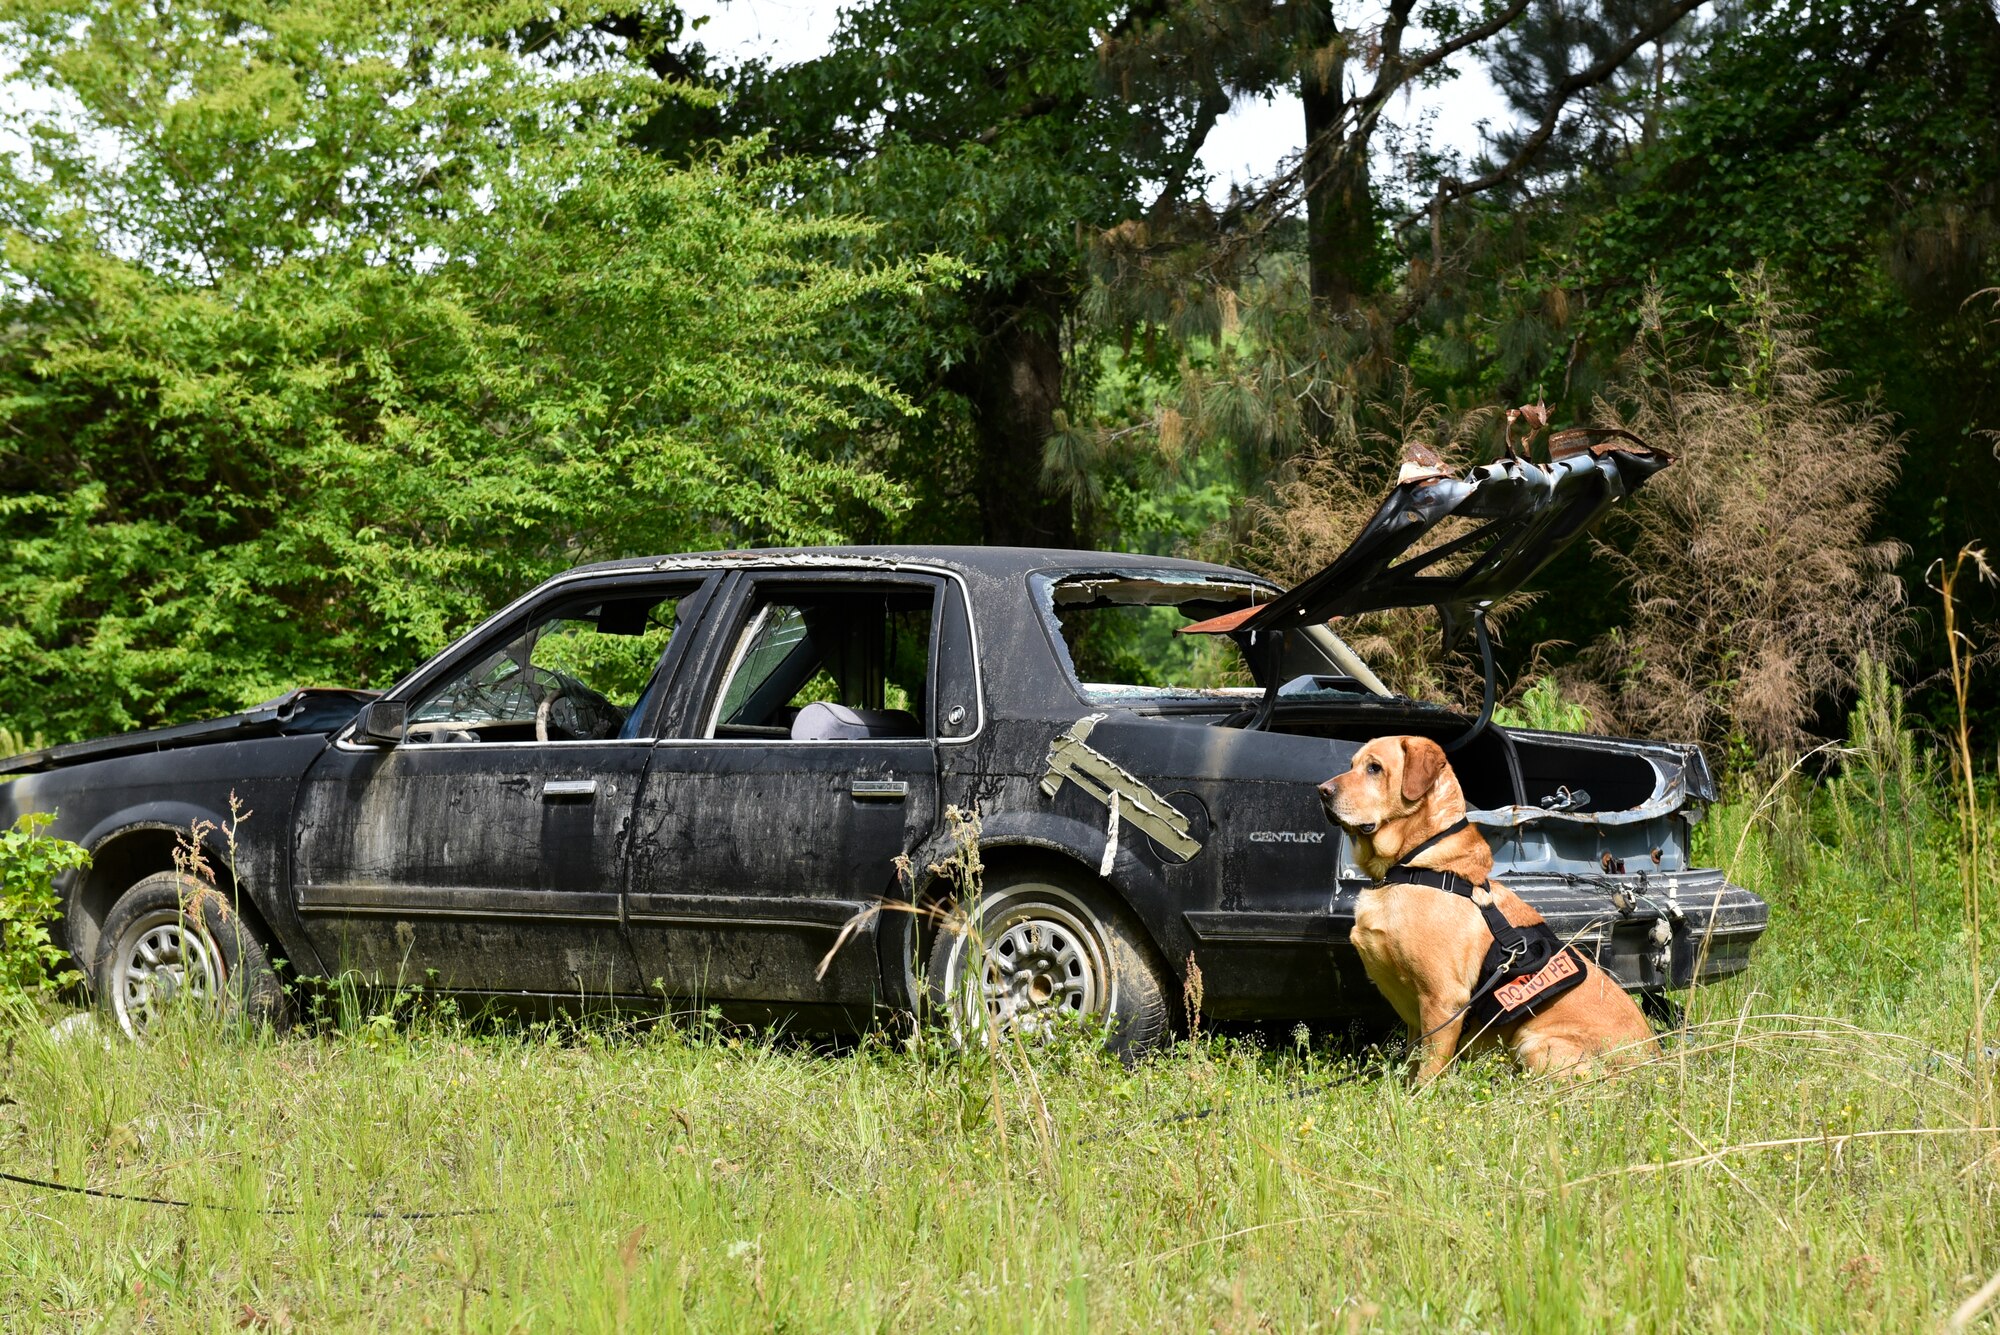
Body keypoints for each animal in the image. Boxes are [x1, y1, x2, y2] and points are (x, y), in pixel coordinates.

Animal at [1328, 735, 1656, 1079]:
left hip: (1530, 1039)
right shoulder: (1416, 1014)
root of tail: (1652, 1061)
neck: (1416, 866)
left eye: (1374, 768)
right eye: (1352, 764)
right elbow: (1412, 1062)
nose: (1322, 790)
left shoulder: (1444, 1000)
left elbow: (1428, 1072)